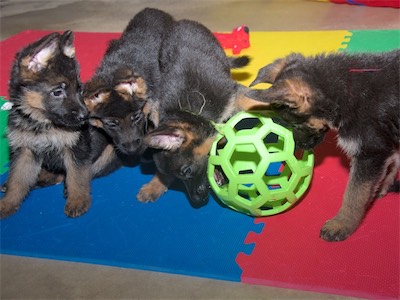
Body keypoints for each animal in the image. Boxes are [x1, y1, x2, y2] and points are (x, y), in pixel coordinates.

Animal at [137, 18, 256, 206]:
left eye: (187, 171)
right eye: (177, 176)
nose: (197, 200)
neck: (192, 112)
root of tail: (182, 21)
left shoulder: (232, 94)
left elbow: (252, 99)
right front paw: (155, 186)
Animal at [245, 49, 398, 241]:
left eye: (294, 125)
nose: (299, 147)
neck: (343, 91)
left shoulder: (369, 154)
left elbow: (354, 195)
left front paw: (342, 224)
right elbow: (393, 158)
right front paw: (385, 182)